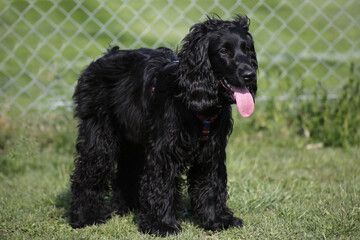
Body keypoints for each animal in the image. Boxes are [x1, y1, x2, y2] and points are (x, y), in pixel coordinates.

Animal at [69, 15, 256, 236]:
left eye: (247, 49)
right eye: (224, 51)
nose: (250, 74)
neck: (190, 99)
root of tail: (107, 54)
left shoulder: (211, 151)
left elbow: (211, 184)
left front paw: (216, 220)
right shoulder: (163, 150)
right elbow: (162, 186)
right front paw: (162, 224)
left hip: (134, 141)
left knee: (126, 171)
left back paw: (129, 207)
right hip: (100, 136)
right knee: (88, 172)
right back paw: (85, 216)